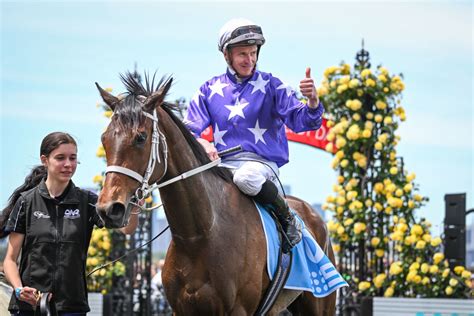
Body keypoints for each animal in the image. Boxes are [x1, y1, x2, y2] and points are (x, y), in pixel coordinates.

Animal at [93, 73, 336, 314]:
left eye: (140, 137)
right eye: (104, 138)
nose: (109, 209)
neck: (199, 235)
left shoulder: (239, 309)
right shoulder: (181, 308)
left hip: (320, 302)